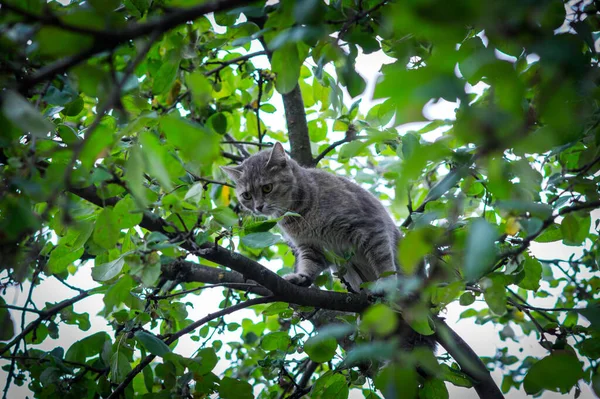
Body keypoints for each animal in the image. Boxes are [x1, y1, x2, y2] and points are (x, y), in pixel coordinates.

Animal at [221, 142, 404, 292]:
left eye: (267, 188)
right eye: (247, 195)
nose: (258, 207)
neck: (298, 216)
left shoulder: (370, 227)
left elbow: (382, 260)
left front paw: (386, 281)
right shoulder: (311, 246)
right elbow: (310, 264)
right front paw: (301, 277)